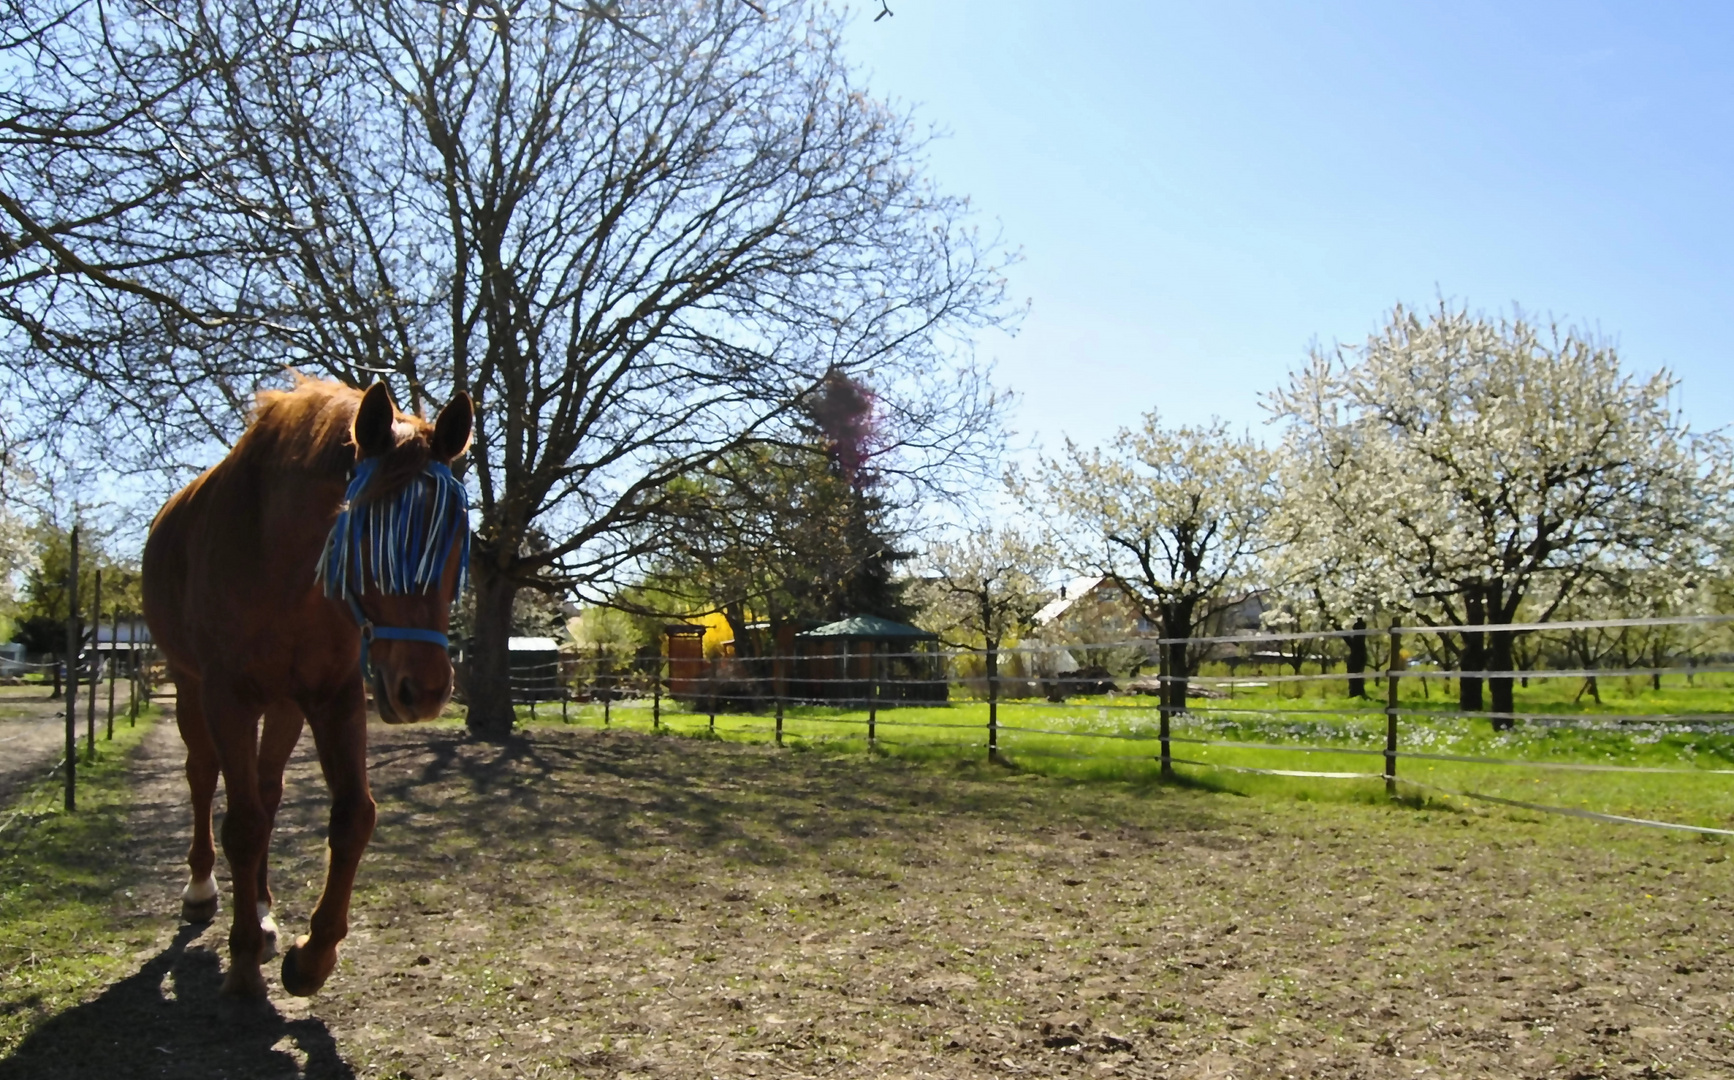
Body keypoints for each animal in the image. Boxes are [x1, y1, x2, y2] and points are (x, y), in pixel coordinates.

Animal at [143, 377, 475, 998]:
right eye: (369, 529)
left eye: (456, 535)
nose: (424, 690)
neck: (283, 572)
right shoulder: (225, 697)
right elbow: (242, 824)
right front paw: (244, 958)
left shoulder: (333, 696)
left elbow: (352, 816)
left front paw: (311, 956)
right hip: (189, 688)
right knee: (203, 778)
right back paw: (202, 891)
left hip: (283, 708)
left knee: (267, 792)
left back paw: (263, 907)